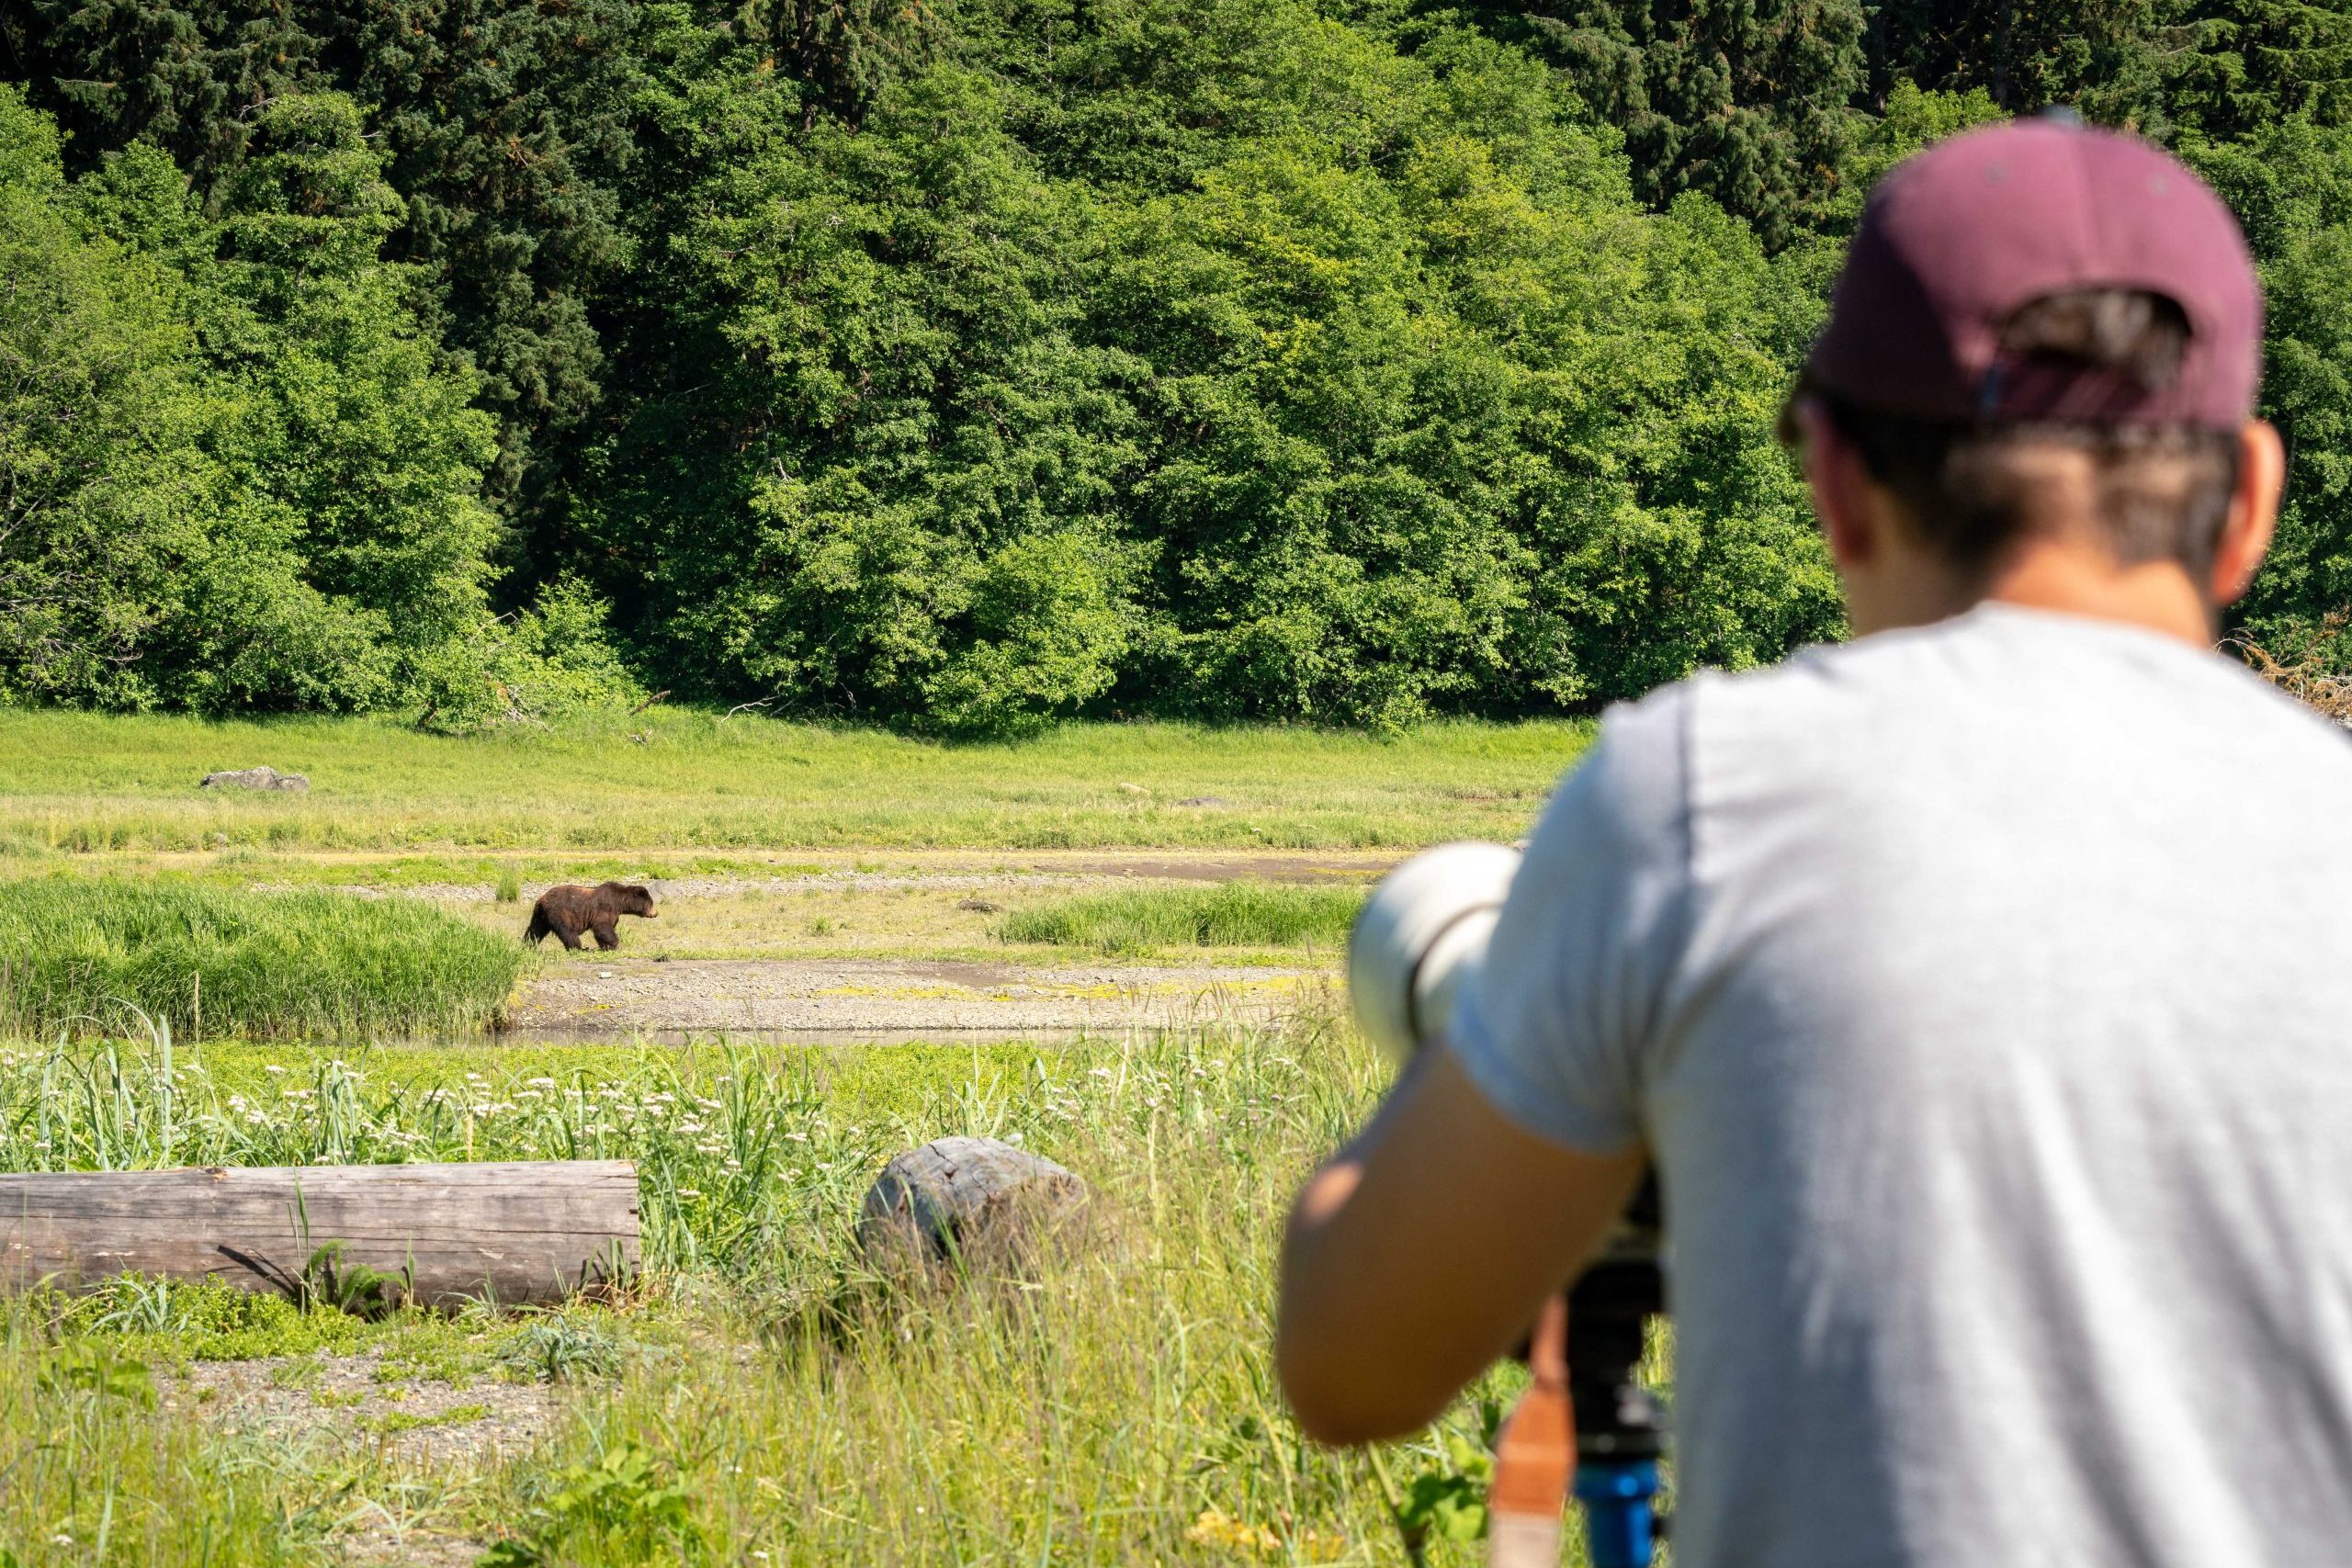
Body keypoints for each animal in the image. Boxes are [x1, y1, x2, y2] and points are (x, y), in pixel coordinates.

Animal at [525, 882, 659, 951]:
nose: (656, 913)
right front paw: (614, 944)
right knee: (568, 932)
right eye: (651, 903)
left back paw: (527, 945)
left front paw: (606, 946)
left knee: (535, 930)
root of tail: (542, 899)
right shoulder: (605, 907)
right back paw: (580, 948)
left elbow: (605, 930)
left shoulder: (614, 913)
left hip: (540, 915)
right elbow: (602, 927)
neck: (621, 903)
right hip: (560, 913)